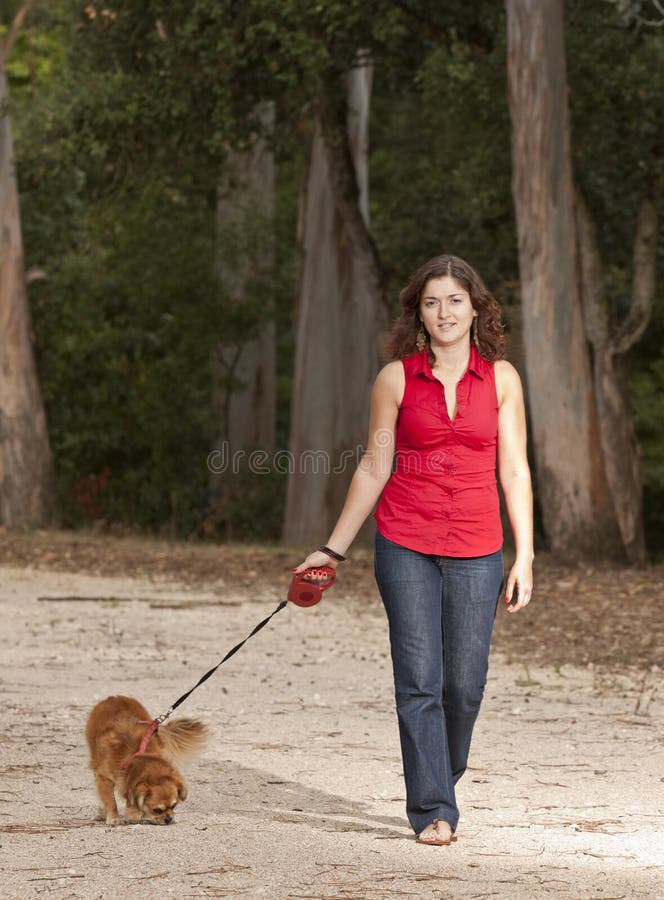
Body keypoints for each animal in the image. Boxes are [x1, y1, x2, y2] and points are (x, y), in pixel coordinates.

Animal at [85, 696, 206, 828]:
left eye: (174, 806)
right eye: (157, 810)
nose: (169, 819)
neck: (137, 755)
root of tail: (113, 697)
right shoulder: (104, 778)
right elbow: (110, 800)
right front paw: (114, 817)